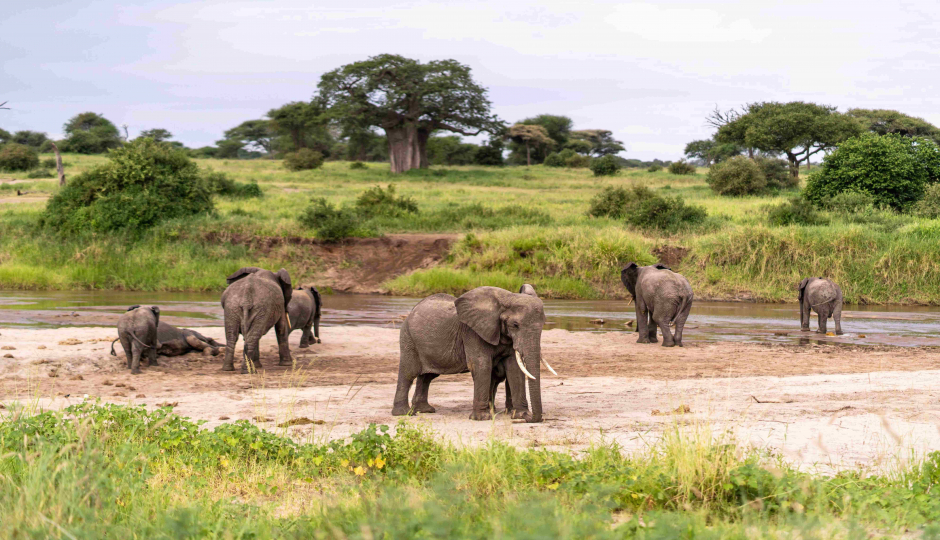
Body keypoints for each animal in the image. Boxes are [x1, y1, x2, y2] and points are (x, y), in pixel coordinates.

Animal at [393, 286, 555, 423]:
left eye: (543, 325)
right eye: (515, 325)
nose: (531, 418)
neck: (507, 298)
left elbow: (514, 368)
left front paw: (520, 415)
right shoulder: (472, 332)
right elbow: (482, 365)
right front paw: (482, 418)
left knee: (427, 376)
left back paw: (424, 410)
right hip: (408, 337)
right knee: (409, 373)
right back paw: (404, 414)